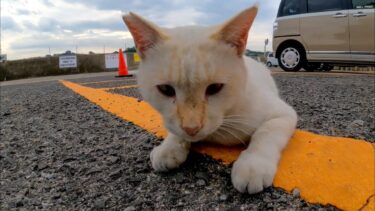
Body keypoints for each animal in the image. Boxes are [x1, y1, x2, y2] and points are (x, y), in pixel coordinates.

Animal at [125, 4, 298, 194]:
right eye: (165, 89)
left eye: (215, 88)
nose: (191, 128)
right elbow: (174, 131)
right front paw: (168, 148)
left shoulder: (283, 114)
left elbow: (265, 132)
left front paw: (253, 165)